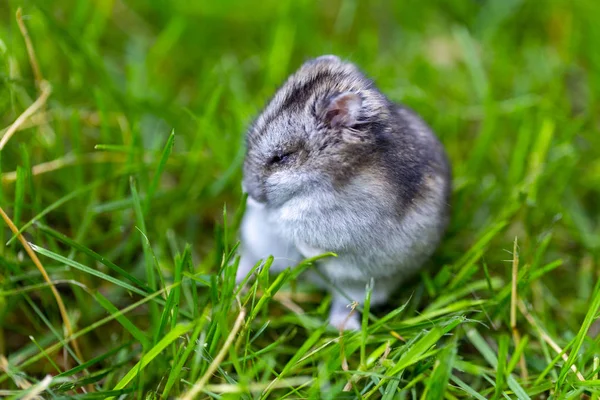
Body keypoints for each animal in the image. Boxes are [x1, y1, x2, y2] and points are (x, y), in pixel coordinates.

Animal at [234, 56, 450, 332]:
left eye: (281, 157)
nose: (249, 189)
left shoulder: (340, 219)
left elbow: (292, 222)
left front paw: (309, 252)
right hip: (257, 242)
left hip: (362, 288)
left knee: (345, 304)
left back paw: (345, 330)